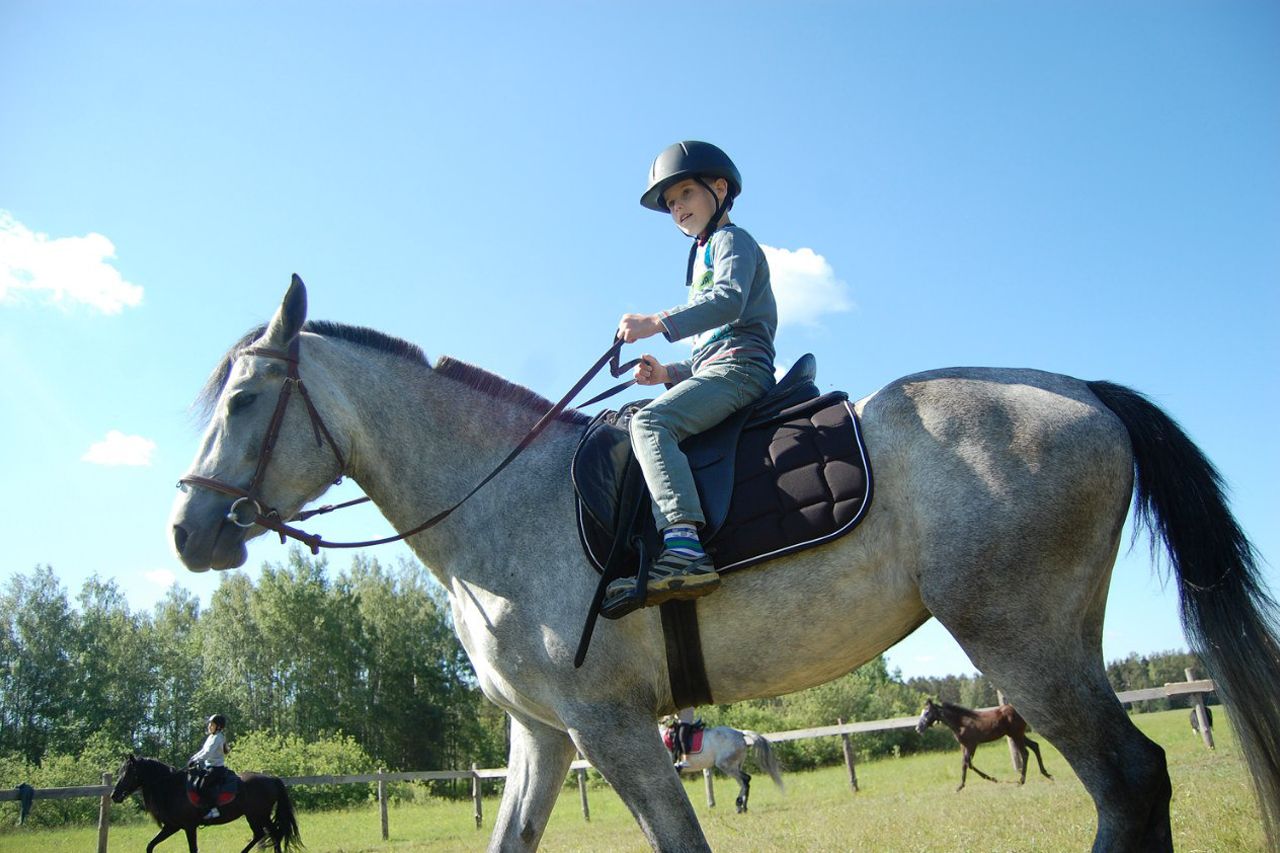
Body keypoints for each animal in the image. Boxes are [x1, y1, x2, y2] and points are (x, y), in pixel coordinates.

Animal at [109, 753, 299, 845]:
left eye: (129, 772)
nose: (114, 795)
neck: (171, 786)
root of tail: (271, 779)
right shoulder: (172, 827)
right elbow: (150, 846)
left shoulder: (189, 827)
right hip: (255, 816)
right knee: (264, 834)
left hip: (259, 815)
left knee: (272, 835)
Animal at [916, 696, 1054, 788]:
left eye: (927, 713)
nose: (918, 728)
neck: (961, 723)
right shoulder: (964, 746)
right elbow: (966, 764)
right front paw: (963, 785)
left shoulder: (972, 744)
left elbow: (967, 763)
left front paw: (963, 786)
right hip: (1017, 735)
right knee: (1035, 746)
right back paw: (1047, 774)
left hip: (1016, 735)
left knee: (1025, 753)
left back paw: (1021, 781)